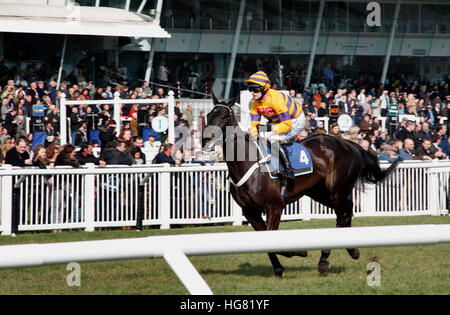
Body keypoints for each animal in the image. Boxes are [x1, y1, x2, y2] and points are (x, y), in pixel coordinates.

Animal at [202, 94, 400, 278]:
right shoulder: (250, 211)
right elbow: (265, 240)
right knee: (347, 212)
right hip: (321, 193)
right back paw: (351, 250)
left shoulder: (274, 206)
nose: (205, 139)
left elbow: (272, 237)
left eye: (224, 116)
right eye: (209, 115)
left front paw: (299, 252)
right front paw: (279, 268)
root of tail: (350, 144)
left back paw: (325, 258)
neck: (247, 162)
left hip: (338, 191)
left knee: (342, 216)